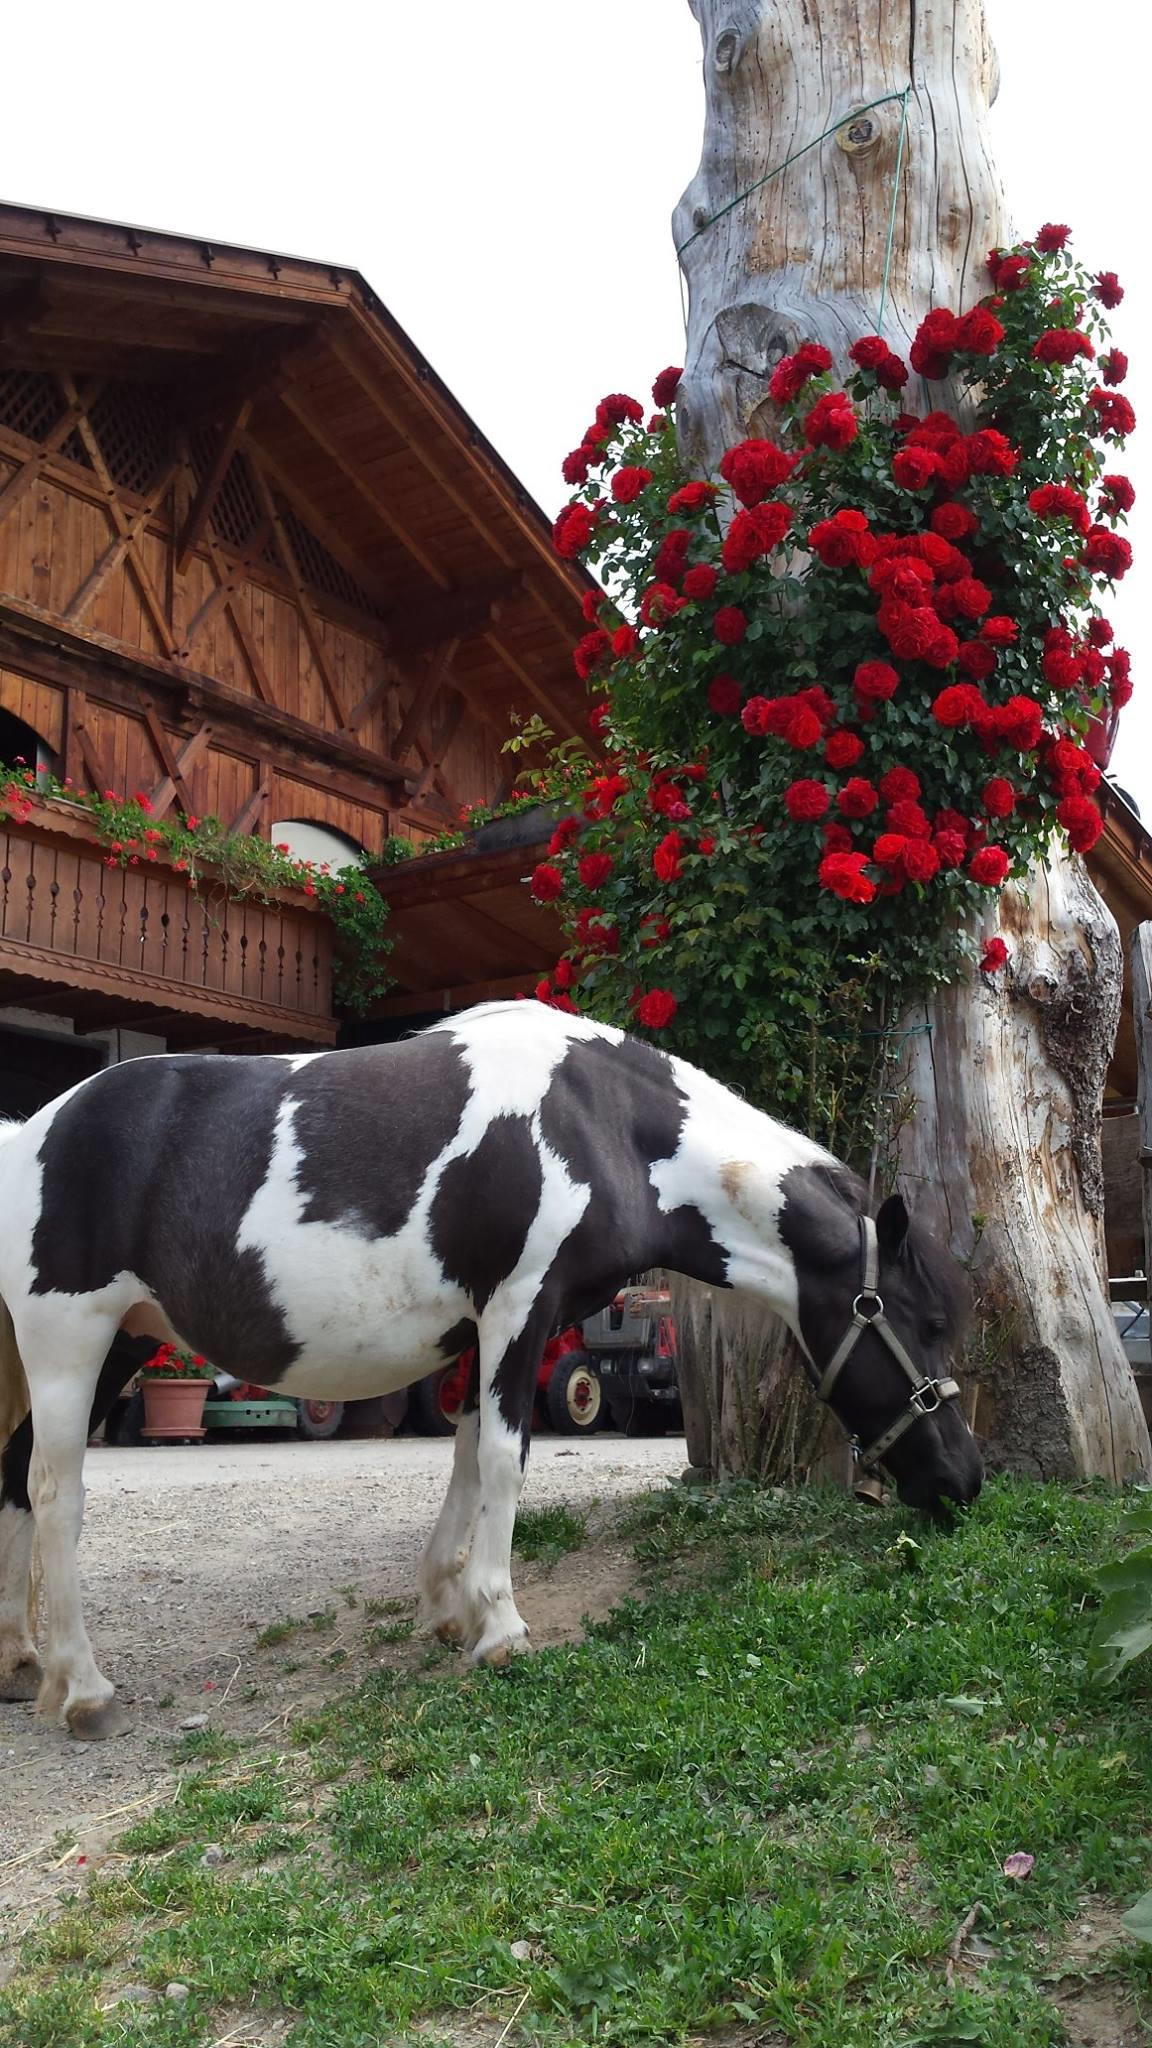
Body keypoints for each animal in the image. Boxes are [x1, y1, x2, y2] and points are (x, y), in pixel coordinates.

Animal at [0, 999, 975, 1736]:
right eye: (928, 1322)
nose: (964, 1481)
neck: (601, 1126)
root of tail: (29, 1133)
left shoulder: (486, 1334)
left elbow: (469, 1460)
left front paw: (447, 1604)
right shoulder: (519, 1309)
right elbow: (507, 1461)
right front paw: (500, 1625)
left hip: (123, 1339)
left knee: (15, 1482)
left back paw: (21, 1659)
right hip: (70, 1342)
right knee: (55, 1495)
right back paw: (82, 1688)